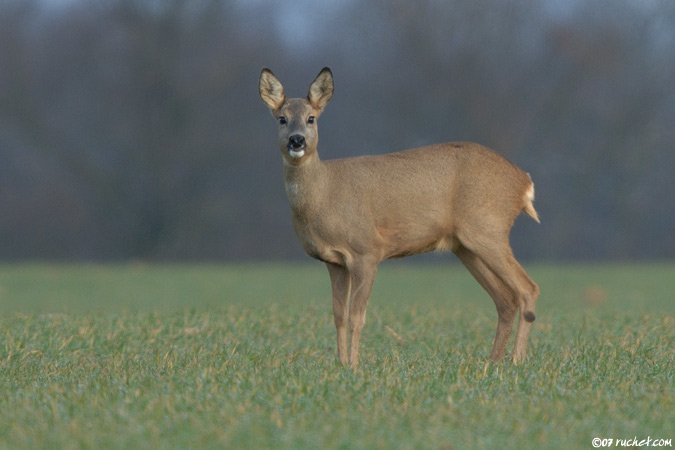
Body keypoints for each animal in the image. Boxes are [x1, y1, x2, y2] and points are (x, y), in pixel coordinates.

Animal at [259, 67, 540, 369]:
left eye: (311, 118)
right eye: (282, 118)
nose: (296, 140)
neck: (324, 193)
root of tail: (523, 182)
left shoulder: (367, 251)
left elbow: (357, 316)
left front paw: (354, 366)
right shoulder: (334, 262)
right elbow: (338, 316)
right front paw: (342, 364)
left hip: (488, 229)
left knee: (528, 289)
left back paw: (516, 361)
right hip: (465, 246)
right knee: (506, 299)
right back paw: (492, 362)